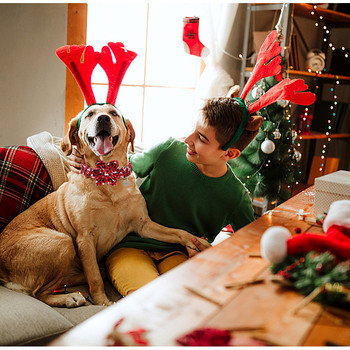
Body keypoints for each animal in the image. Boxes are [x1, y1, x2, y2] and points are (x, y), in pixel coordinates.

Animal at [0, 104, 209, 306]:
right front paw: (102, 301)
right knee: (40, 293)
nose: (103, 119)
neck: (108, 178)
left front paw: (198, 242)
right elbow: (94, 277)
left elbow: (177, 232)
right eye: (90, 114)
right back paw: (69, 298)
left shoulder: (143, 225)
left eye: (113, 113)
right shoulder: (85, 237)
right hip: (63, 242)